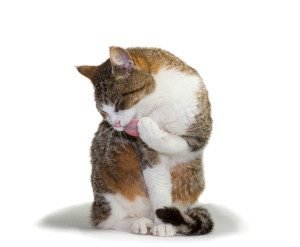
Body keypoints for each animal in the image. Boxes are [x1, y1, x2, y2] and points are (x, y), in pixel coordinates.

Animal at [77, 46, 213, 237]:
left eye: (119, 104)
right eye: (103, 112)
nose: (115, 124)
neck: (161, 106)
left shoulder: (200, 134)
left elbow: (179, 144)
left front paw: (149, 129)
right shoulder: (149, 156)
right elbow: (158, 184)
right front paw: (162, 223)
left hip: (194, 179)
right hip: (105, 179)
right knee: (106, 220)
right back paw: (139, 222)